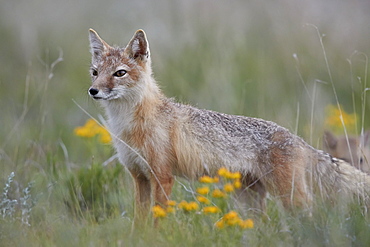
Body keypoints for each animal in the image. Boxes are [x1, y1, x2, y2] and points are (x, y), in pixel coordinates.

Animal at [87, 28, 370, 220]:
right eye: (95, 72)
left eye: (120, 73)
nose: (93, 91)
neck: (129, 124)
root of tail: (297, 139)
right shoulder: (140, 178)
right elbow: (139, 224)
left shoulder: (163, 177)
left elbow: (158, 223)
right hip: (250, 200)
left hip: (290, 198)